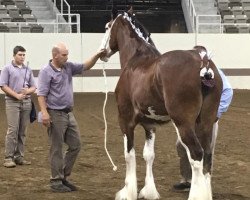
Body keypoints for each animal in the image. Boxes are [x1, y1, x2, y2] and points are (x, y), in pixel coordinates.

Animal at [98, 8, 222, 200]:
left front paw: (127, 192)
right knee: (207, 156)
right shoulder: (150, 125)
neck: (136, 60)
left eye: (107, 26)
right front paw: (149, 191)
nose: (102, 52)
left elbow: (129, 155)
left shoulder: (125, 121)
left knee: (196, 155)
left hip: (184, 124)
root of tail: (203, 63)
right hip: (206, 123)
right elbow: (149, 155)